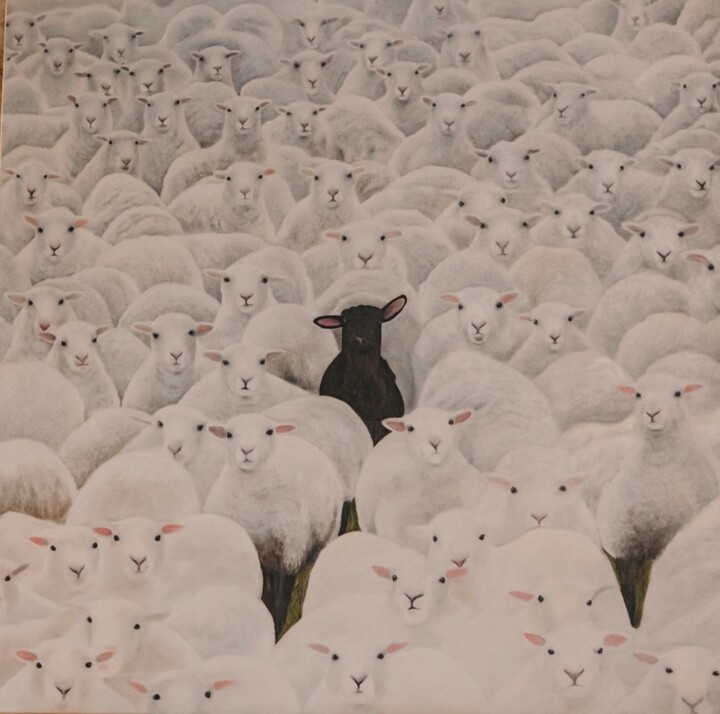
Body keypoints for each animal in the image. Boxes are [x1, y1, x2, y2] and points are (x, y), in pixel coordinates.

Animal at [205, 413, 343, 635]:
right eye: (229, 434)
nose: (246, 451)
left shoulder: (286, 558)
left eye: (269, 432)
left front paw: (276, 633)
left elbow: (279, 602)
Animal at [595, 373, 718, 624]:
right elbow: (631, 597)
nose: (652, 413)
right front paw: (634, 622)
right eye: (638, 394)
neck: (659, 467)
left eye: (678, 393)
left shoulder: (662, 542)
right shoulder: (624, 552)